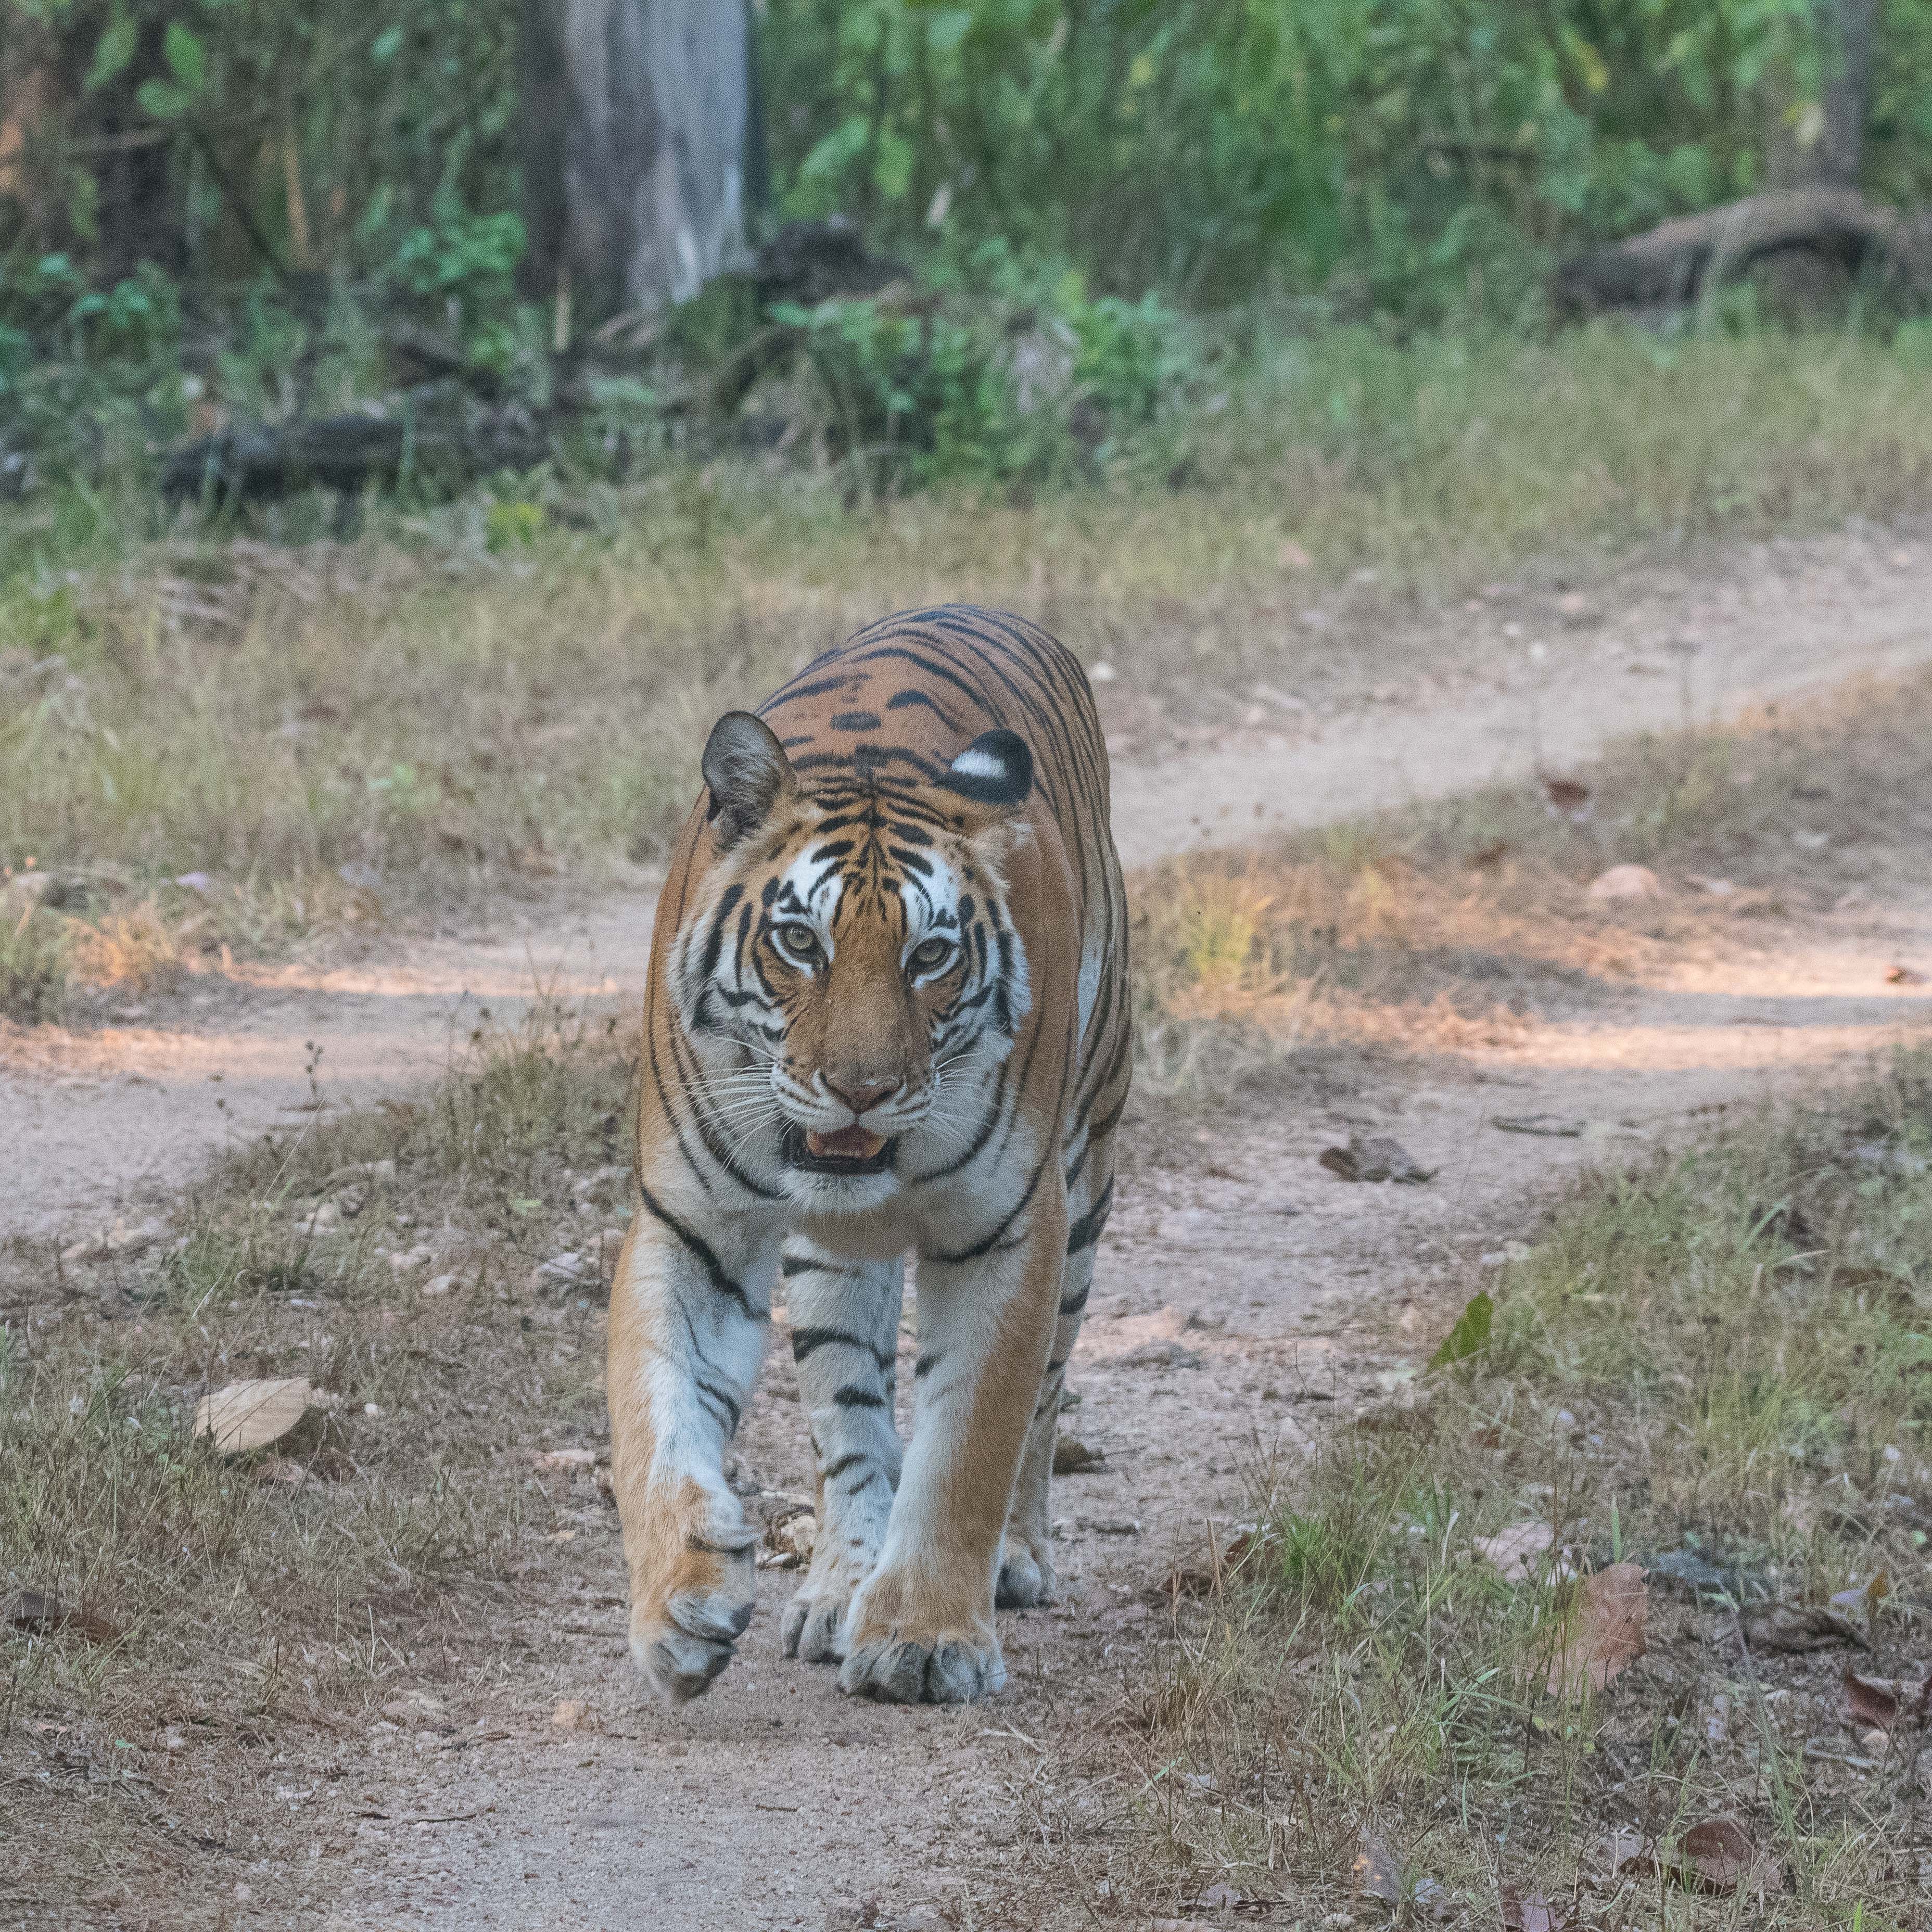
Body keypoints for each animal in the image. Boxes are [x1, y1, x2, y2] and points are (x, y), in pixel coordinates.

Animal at [607, 604, 1131, 1706]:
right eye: (799, 942)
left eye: (929, 956)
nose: (861, 1088)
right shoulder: (691, 1224)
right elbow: (654, 1419)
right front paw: (680, 1602)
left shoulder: (1010, 1228)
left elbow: (969, 1440)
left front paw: (926, 1638)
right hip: (827, 1263)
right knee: (849, 1416)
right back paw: (837, 1586)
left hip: (1088, 1175)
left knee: (1046, 1395)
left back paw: (1013, 1558)